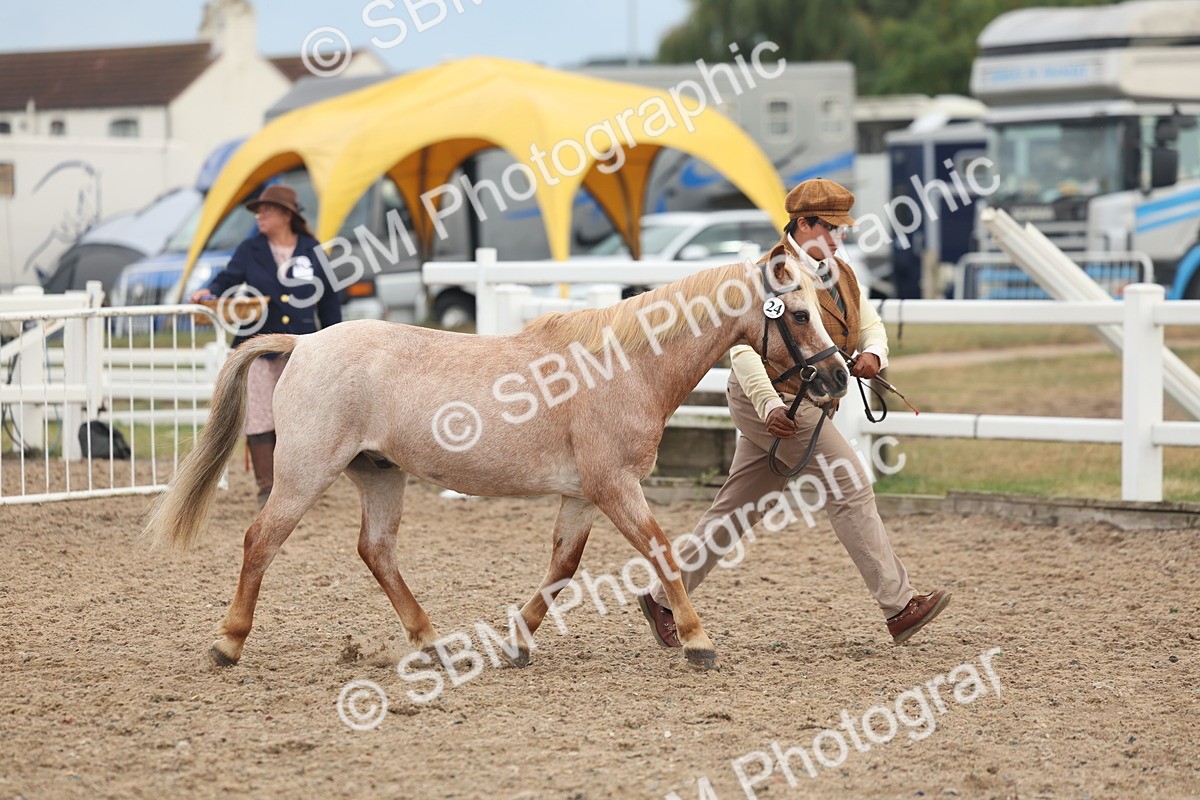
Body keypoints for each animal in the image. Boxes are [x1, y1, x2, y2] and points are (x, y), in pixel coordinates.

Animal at [143, 249, 850, 670]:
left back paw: (432, 642)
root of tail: (305, 343)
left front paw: (517, 642)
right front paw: (698, 640)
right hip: (302, 473)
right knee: (260, 540)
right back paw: (228, 643)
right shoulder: (615, 486)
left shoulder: (583, 495)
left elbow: (562, 567)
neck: (622, 365)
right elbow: (660, 549)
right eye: (801, 313)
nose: (838, 378)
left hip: (380, 475)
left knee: (377, 551)